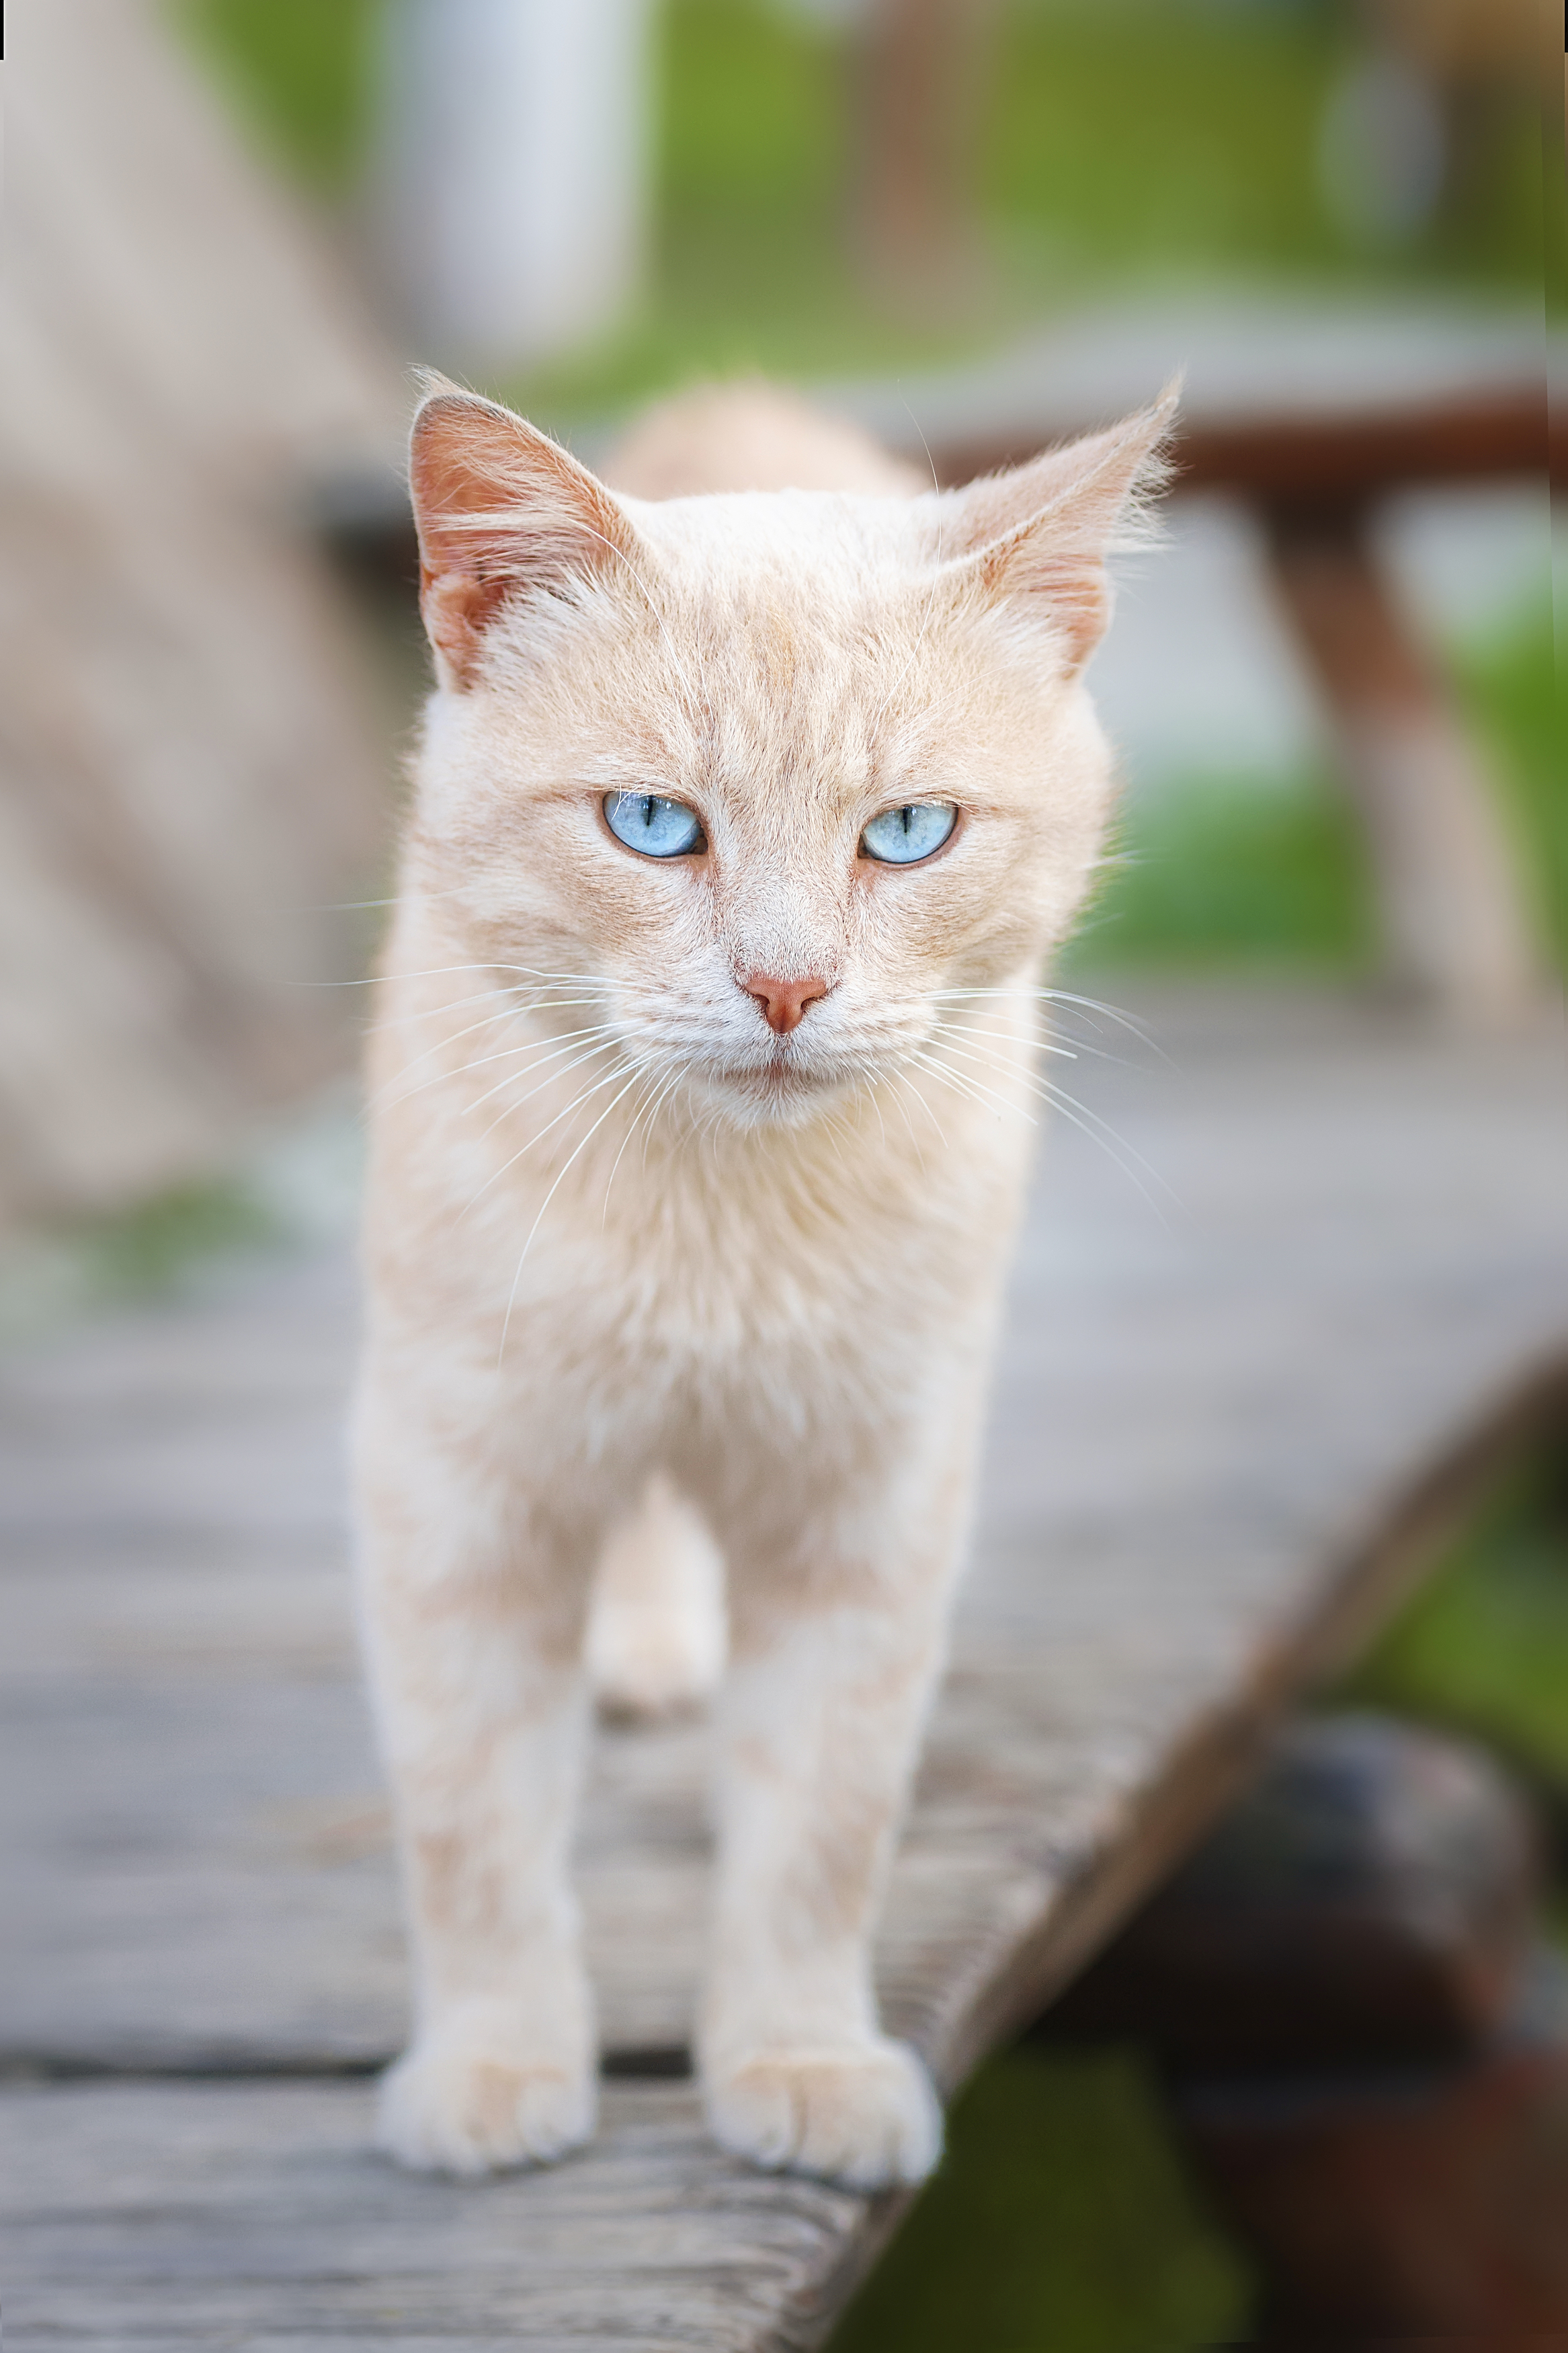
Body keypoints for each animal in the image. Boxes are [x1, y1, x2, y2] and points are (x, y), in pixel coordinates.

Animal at [352, 367, 1165, 2184]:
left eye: (908, 833)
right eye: (653, 825)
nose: (787, 987)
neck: (714, 1235)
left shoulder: (868, 1508)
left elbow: (818, 1827)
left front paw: (792, 2063)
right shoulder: (458, 1496)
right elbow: (468, 1822)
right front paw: (498, 2067)